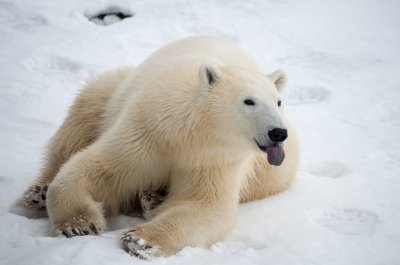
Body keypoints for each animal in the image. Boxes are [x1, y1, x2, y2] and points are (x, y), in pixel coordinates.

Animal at [20, 36, 298, 256]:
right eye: (248, 101)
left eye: (278, 101)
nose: (277, 133)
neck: (190, 131)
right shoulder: (147, 130)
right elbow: (96, 168)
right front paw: (78, 225)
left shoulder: (215, 159)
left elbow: (205, 205)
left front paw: (140, 240)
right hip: (111, 92)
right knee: (79, 120)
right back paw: (37, 194)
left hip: (278, 165)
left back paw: (152, 199)